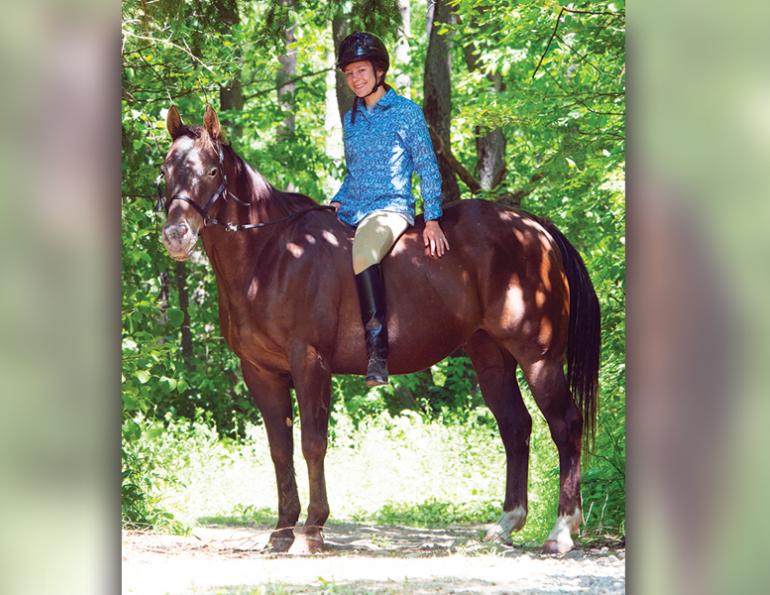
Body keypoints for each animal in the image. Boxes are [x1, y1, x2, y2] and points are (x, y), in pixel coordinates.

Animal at [158, 105, 600, 555]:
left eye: (213, 170)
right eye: (166, 169)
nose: (176, 236)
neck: (271, 255)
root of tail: (536, 227)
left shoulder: (310, 362)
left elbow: (312, 443)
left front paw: (313, 529)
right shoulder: (262, 372)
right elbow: (279, 449)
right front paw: (282, 530)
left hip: (539, 359)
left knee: (565, 424)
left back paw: (562, 530)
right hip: (491, 359)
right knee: (515, 426)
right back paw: (506, 523)